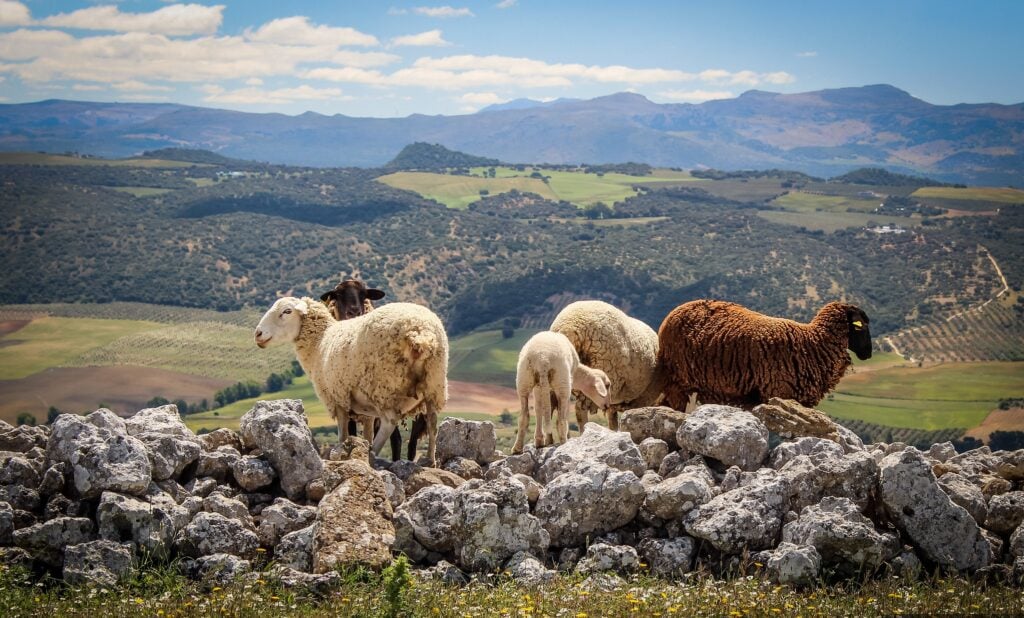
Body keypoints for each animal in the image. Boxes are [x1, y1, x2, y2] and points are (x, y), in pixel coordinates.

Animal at [254, 296, 448, 466]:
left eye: (286, 311)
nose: (258, 334)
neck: (319, 343)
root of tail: (420, 333)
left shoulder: (336, 396)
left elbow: (343, 434)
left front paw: (346, 450)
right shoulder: (366, 408)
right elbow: (368, 431)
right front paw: (363, 444)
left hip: (385, 385)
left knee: (389, 422)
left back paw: (372, 454)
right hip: (434, 383)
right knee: (432, 422)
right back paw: (430, 460)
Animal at [657, 299, 872, 411]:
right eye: (861, 327)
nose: (868, 354)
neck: (812, 343)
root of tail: (670, 316)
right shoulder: (777, 393)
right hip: (679, 381)